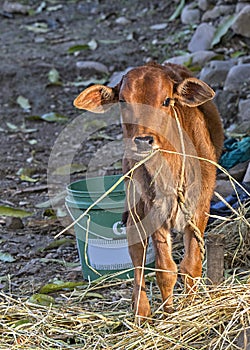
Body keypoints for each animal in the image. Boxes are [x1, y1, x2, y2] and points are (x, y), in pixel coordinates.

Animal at [73, 61, 224, 322]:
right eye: (123, 101)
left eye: (166, 100)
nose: (143, 141)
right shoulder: (152, 212)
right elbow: (165, 270)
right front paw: (168, 312)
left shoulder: (199, 208)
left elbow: (191, 266)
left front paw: (191, 306)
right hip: (134, 209)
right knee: (137, 258)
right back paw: (140, 311)